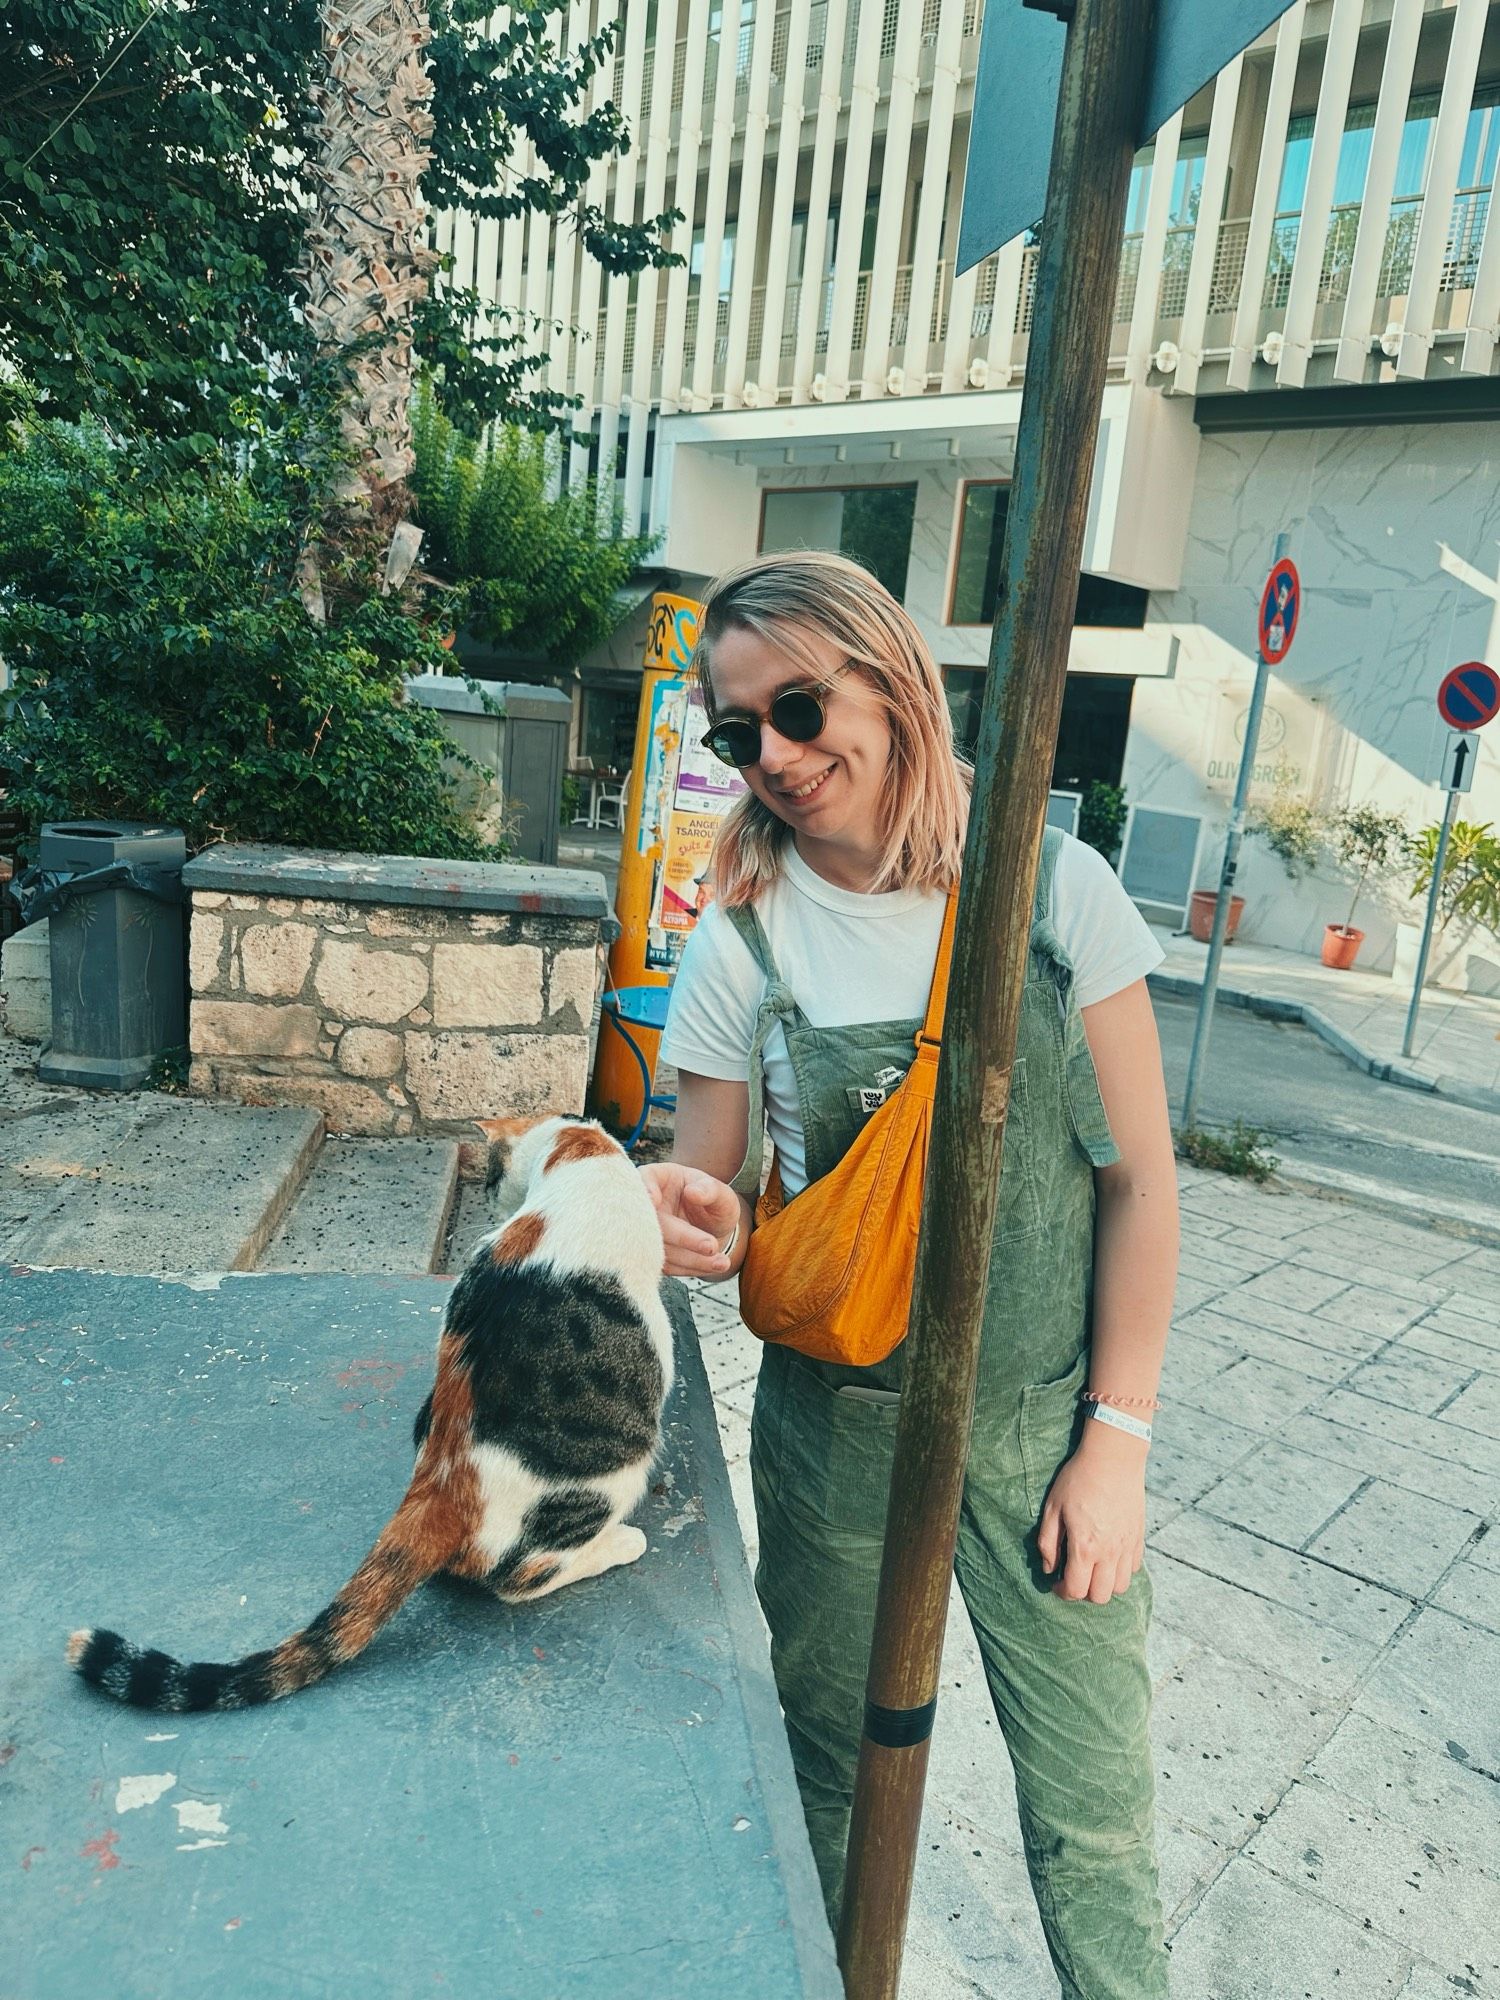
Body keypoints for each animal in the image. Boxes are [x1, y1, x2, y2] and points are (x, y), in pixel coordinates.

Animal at [66, 1120, 676, 1712]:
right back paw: (617, 1544)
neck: (579, 1152)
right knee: (520, 1577)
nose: (491, 1199)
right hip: (614, 1478)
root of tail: (441, 1482)